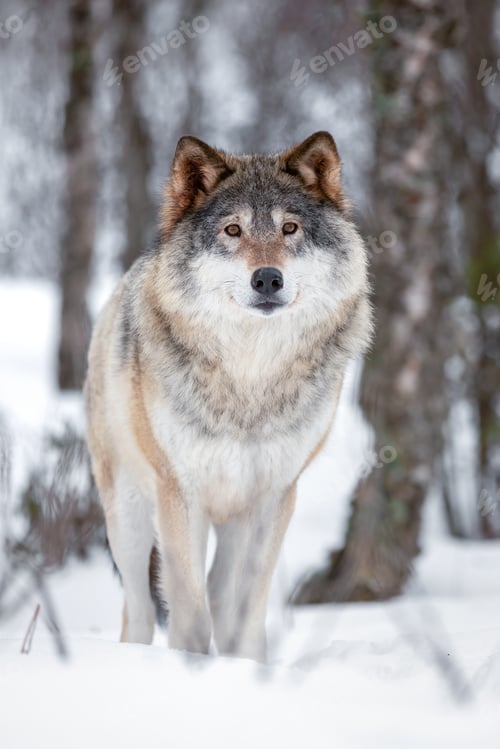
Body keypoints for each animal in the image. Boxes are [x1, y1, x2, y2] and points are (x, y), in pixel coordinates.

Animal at [85, 131, 372, 661]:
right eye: (233, 230)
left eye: (290, 228)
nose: (268, 278)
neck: (248, 380)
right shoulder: (180, 493)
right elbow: (188, 609)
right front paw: (191, 666)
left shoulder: (275, 495)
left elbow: (246, 608)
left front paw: (245, 667)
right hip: (129, 518)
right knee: (138, 609)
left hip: (231, 519)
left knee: (220, 591)